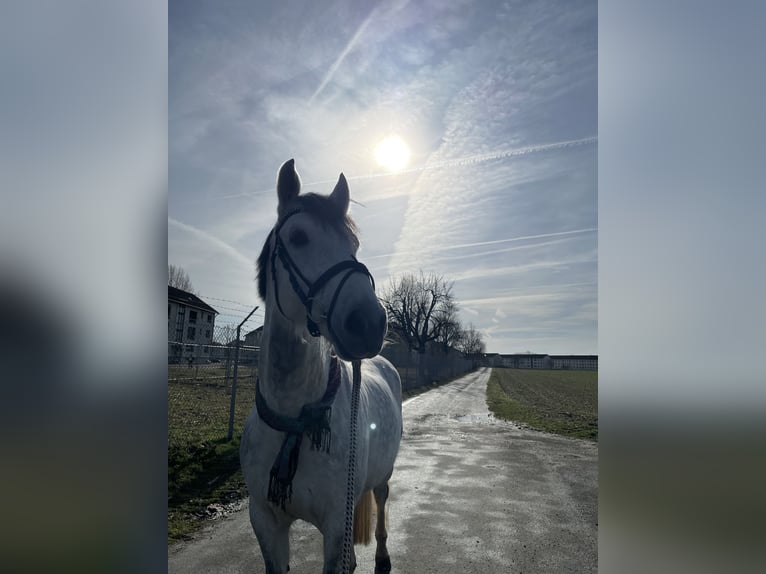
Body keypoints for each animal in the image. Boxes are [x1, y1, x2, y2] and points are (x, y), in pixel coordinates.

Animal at [240, 159, 403, 574]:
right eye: (298, 237)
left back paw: (382, 556)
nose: (369, 323)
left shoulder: (335, 529)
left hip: (382, 476)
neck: (296, 418)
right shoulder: (264, 522)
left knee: (381, 503)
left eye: (354, 245)